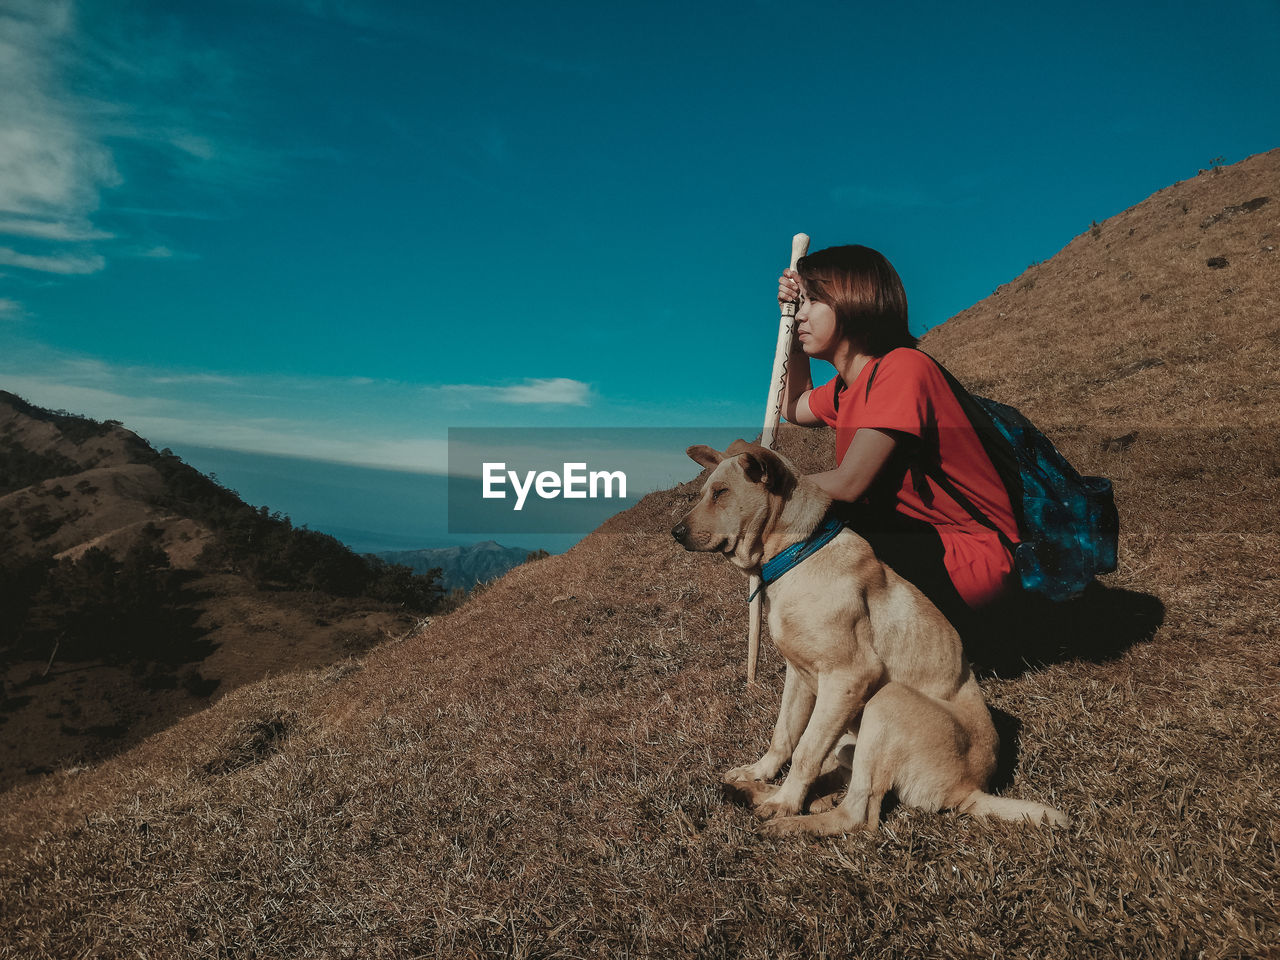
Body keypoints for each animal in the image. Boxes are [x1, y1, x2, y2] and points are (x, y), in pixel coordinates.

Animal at [670, 442, 1070, 834]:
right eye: (705, 493)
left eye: (721, 493)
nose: (675, 533)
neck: (798, 554)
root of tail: (969, 790)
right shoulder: (798, 677)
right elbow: (784, 736)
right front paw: (759, 774)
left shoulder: (848, 677)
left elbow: (805, 752)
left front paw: (785, 803)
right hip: (848, 739)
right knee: (839, 784)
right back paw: (754, 791)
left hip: (886, 701)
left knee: (858, 815)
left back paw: (789, 820)